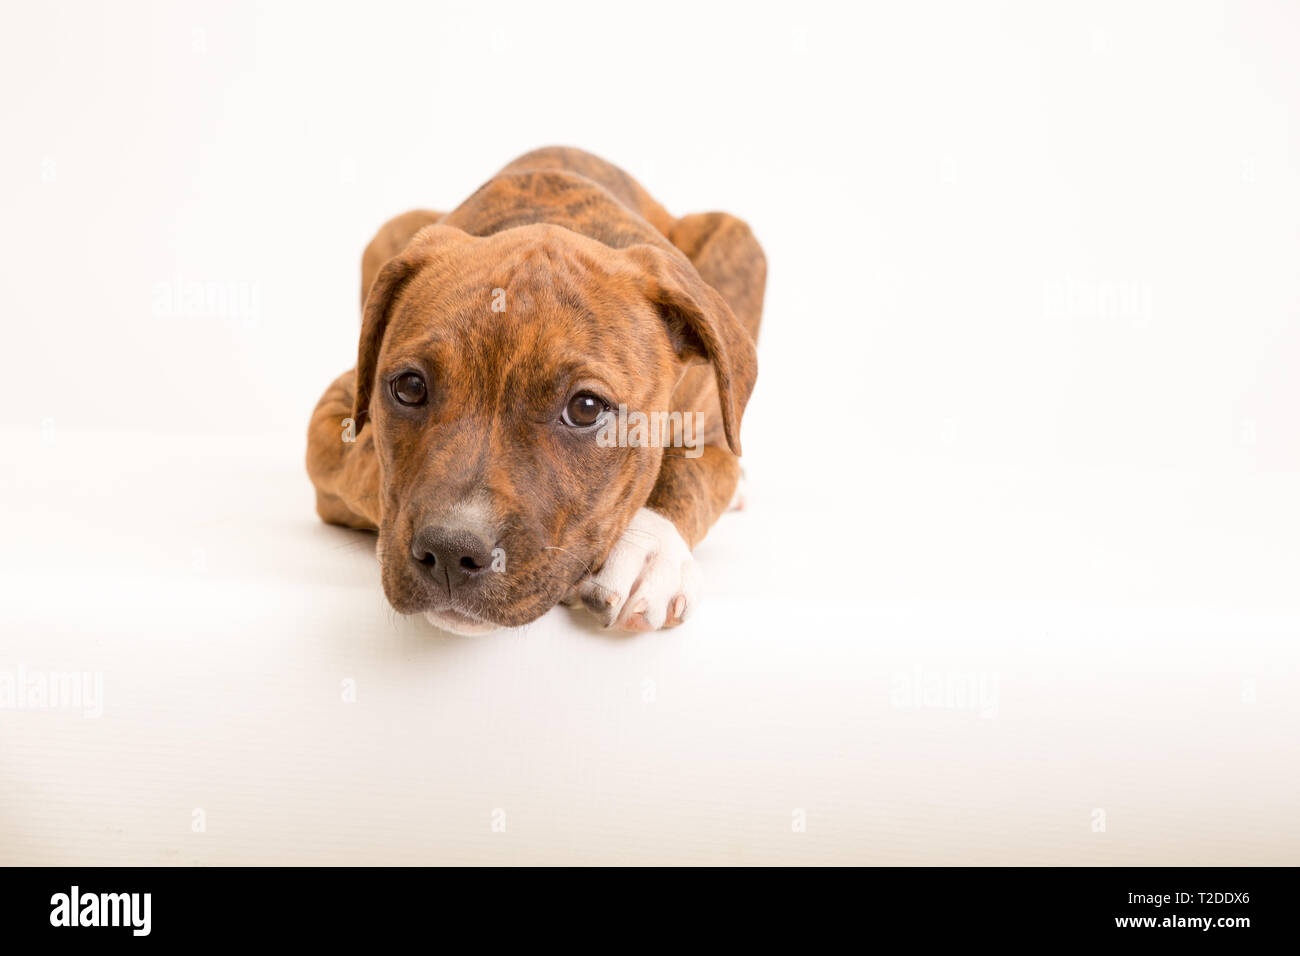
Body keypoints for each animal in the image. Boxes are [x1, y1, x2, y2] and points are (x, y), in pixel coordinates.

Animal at [308, 145, 764, 632]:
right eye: (410, 387)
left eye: (586, 409)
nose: (450, 550)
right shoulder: (333, 421)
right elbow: (368, 468)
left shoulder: (715, 439)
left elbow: (689, 475)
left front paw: (650, 552)